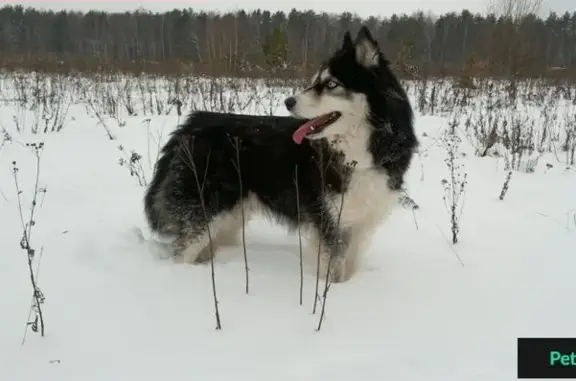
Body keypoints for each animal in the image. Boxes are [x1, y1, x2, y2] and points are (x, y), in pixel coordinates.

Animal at [142, 26, 416, 282]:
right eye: (316, 81)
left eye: (330, 84)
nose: (288, 102)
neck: (359, 151)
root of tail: (191, 124)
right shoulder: (329, 223)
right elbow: (332, 272)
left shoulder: (359, 224)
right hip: (207, 210)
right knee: (183, 253)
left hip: (230, 216)